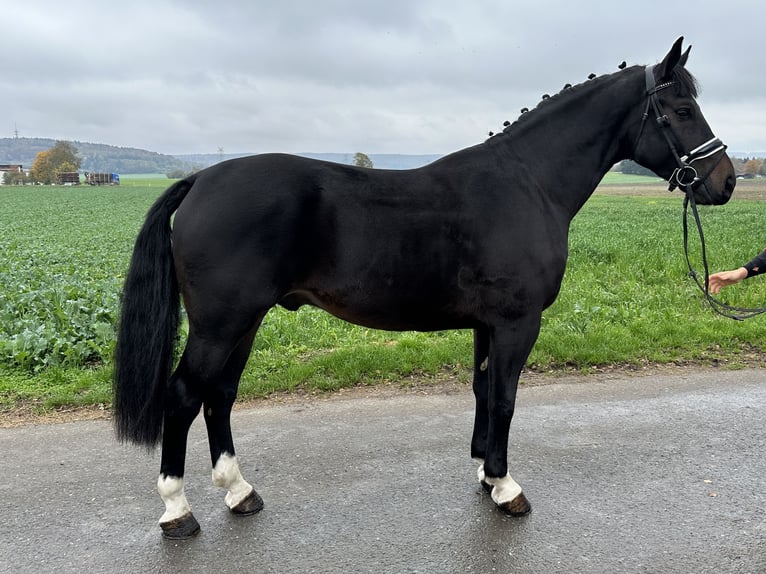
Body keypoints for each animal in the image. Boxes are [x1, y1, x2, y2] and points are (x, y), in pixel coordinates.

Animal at [114, 39, 736, 540]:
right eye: (682, 110)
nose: (725, 182)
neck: (528, 183)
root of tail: (201, 179)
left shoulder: (488, 325)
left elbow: (484, 393)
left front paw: (485, 474)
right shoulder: (517, 322)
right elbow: (506, 398)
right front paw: (507, 488)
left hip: (244, 322)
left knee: (219, 396)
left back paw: (239, 492)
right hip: (221, 324)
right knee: (184, 396)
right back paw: (177, 511)